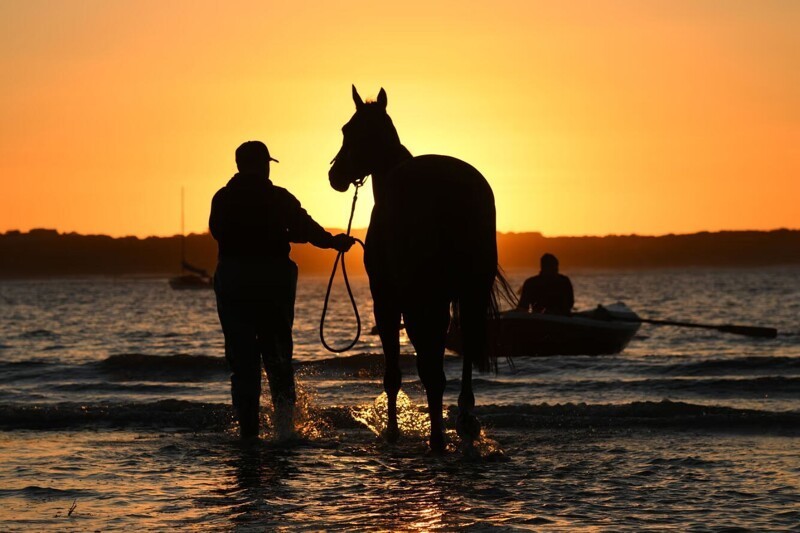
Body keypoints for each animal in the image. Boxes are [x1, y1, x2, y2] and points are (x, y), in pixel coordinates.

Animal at [326, 87, 506, 454]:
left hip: (425, 299)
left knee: (432, 370)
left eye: (349, 131)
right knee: (466, 350)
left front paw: (393, 432)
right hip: (471, 292)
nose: (335, 175)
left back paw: (438, 437)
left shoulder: (388, 301)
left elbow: (395, 373)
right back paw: (465, 420)